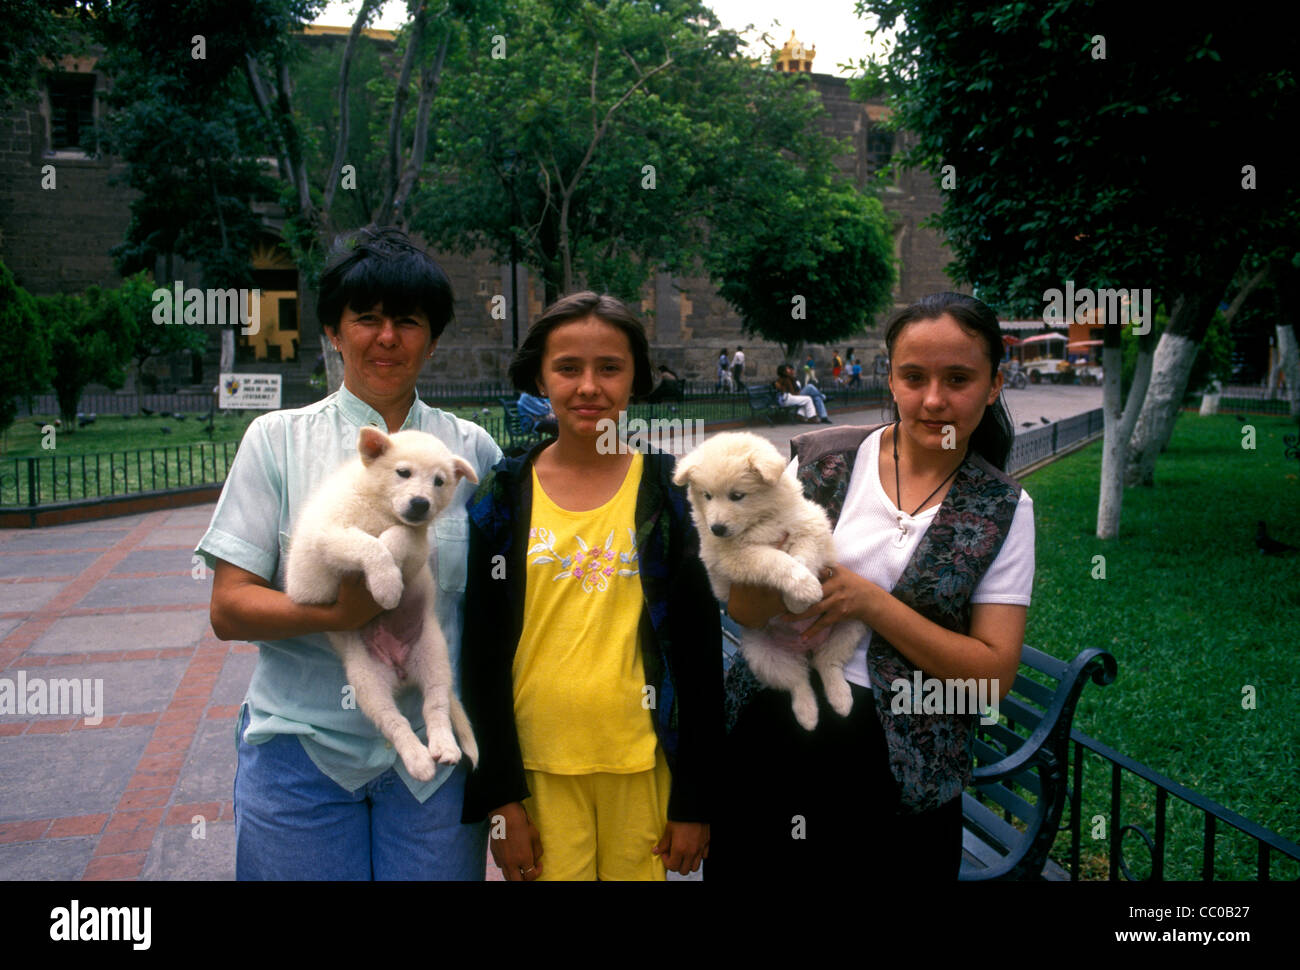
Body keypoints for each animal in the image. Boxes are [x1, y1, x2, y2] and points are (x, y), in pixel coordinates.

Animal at [287, 426, 480, 780]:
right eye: (403, 473)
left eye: (439, 481)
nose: (420, 504)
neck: (379, 508)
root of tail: (400, 670)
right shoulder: (328, 535)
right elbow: (368, 544)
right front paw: (387, 584)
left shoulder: (416, 544)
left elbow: (399, 536)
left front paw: (390, 564)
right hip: (366, 679)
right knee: (394, 721)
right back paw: (418, 760)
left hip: (433, 654)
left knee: (435, 705)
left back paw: (443, 747)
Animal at [676, 429, 868, 728]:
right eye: (706, 496)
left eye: (737, 496)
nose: (717, 528)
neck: (760, 523)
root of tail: (805, 648)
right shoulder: (736, 558)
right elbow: (775, 560)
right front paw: (803, 591)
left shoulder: (810, 528)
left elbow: (804, 556)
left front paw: (801, 598)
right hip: (763, 655)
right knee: (798, 681)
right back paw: (808, 714)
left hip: (852, 621)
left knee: (828, 663)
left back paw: (840, 699)